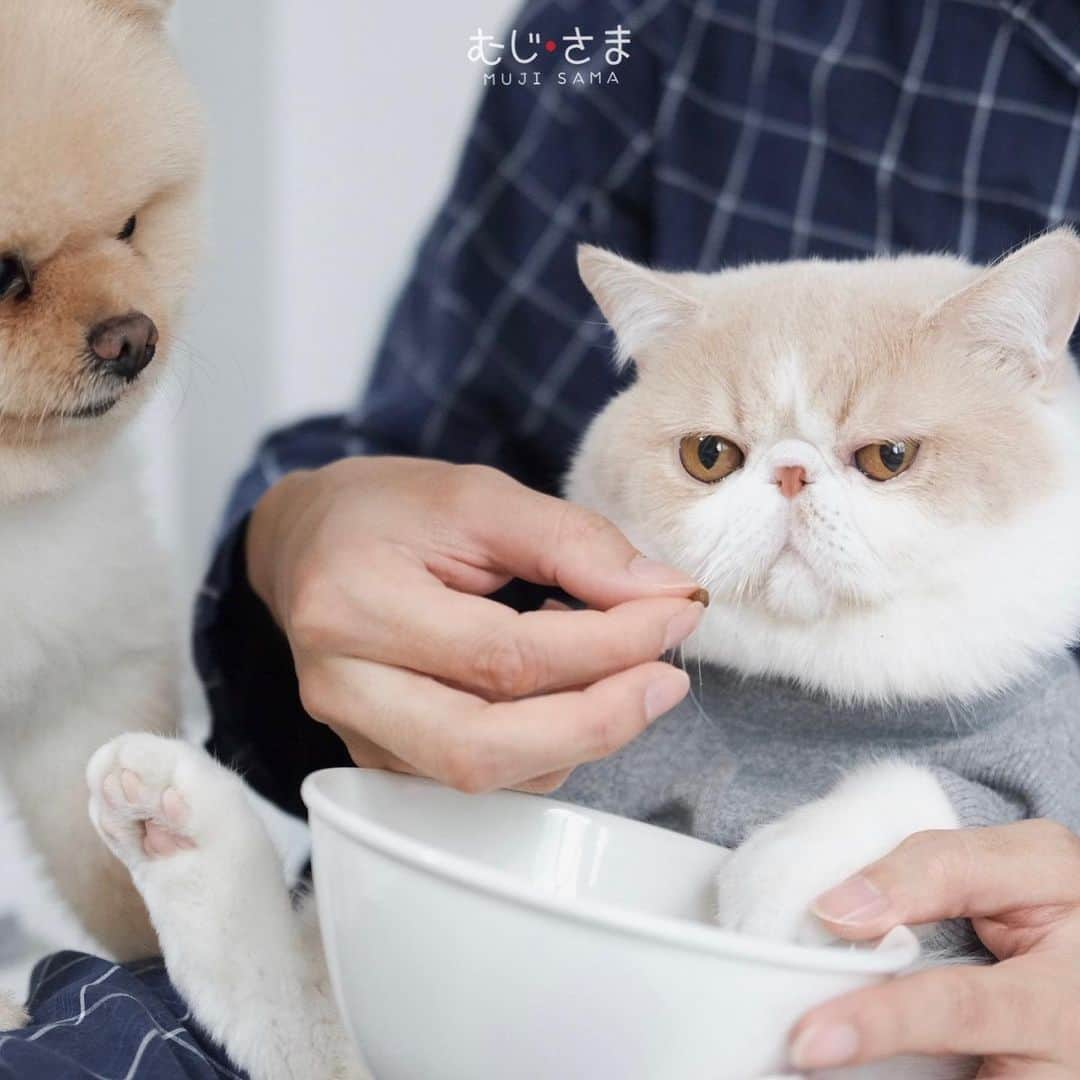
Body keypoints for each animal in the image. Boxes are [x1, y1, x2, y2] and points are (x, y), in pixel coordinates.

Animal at [88, 230, 1080, 1080]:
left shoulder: (1036, 764)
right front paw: (172, 820)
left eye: (888, 457)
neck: (805, 702)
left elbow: (920, 792)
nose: (792, 473)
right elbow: (279, 997)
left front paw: (771, 876)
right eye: (710, 455)